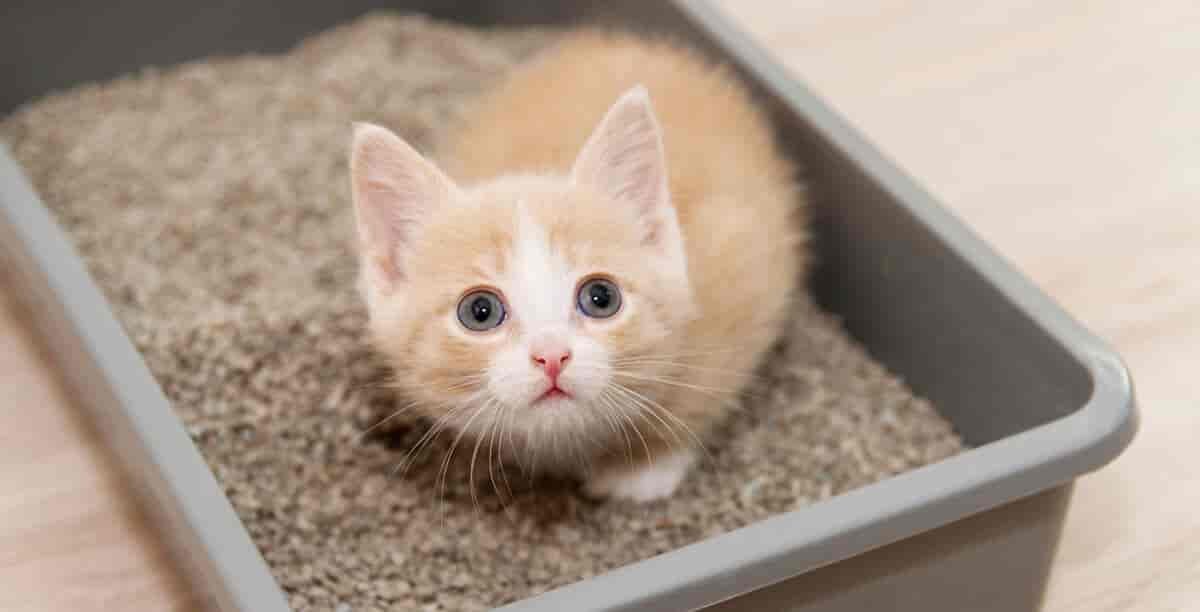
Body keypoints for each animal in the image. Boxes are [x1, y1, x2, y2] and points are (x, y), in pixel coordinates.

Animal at [350, 29, 811, 501]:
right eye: (479, 311)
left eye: (601, 297)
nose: (552, 356)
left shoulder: (740, 272)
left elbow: (705, 390)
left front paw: (644, 467)